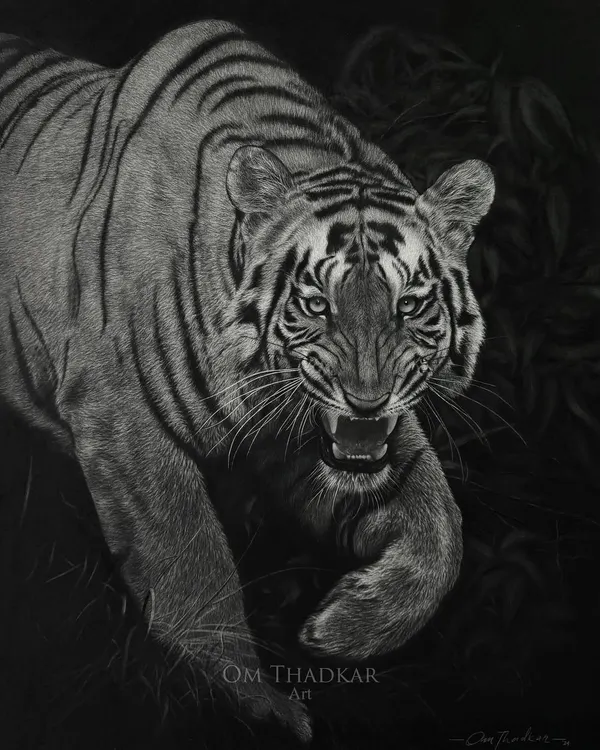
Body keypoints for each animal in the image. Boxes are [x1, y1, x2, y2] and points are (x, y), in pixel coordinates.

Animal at [0, 19, 494, 741]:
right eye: (316, 303)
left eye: (408, 305)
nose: (366, 400)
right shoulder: (123, 420)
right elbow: (192, 563)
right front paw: (252, 705)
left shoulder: (313, 440)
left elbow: (442, 531)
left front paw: (340, 630)